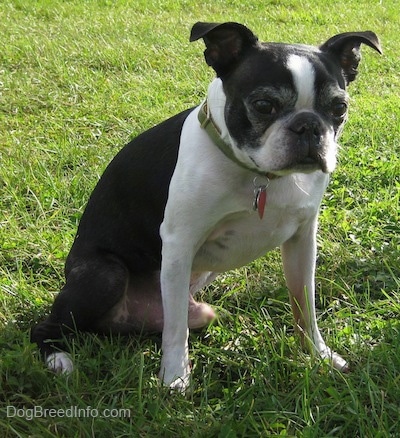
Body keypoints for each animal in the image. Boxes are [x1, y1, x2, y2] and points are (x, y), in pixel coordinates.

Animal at [31, 21, 382, 390]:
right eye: (263, 105)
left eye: (339, 108)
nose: (308, 125)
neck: (263, 177)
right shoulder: (179, 243)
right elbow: (175, 331)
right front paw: (174, 378)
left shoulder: (302, 240)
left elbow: (305, 306)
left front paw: (319, 355)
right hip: (105, 275)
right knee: (49, 327)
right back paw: (59, 358)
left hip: (196, 310)